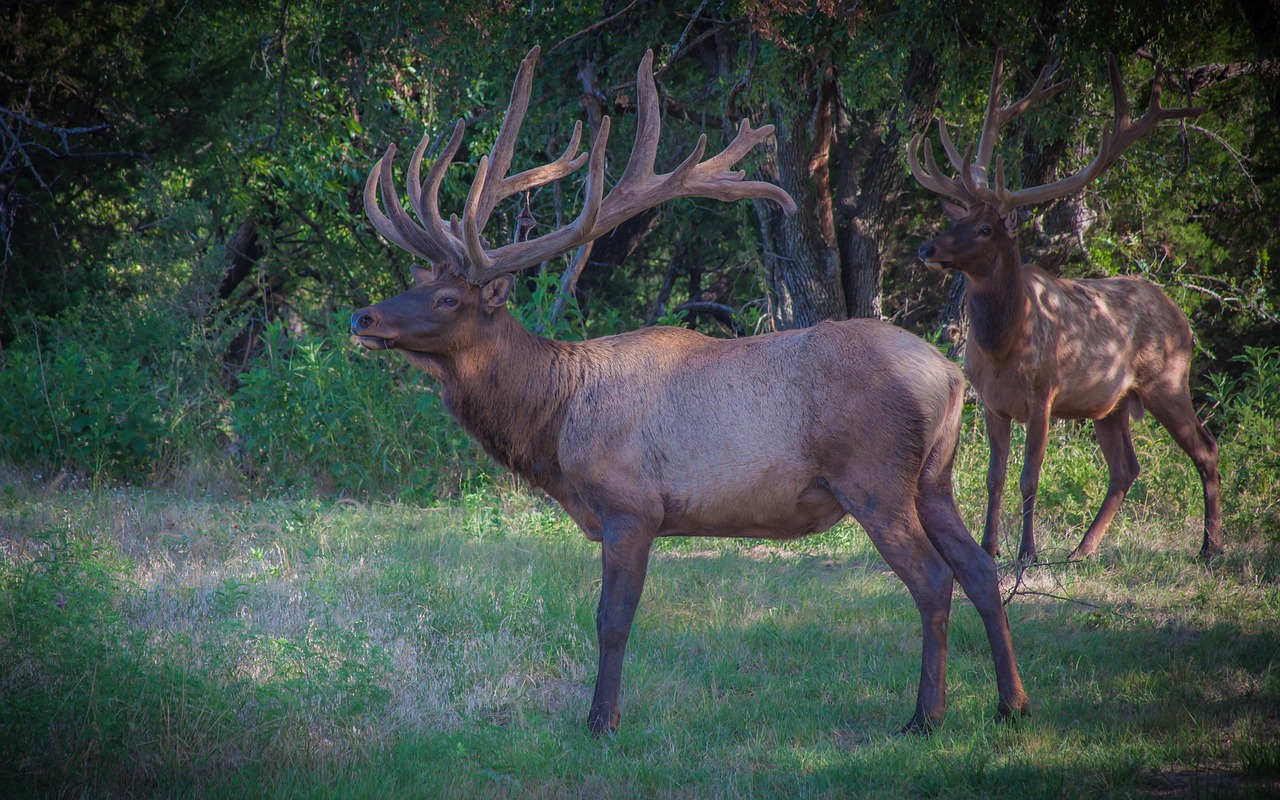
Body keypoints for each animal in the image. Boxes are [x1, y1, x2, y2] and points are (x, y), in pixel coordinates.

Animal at [350, 48, 1029, 737]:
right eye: (416, 280)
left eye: (446, 298)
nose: (363, 317)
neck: (555, 425)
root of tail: (950, 375)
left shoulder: (631, 506)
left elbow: (611, 621)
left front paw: (601, 721)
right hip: (932, 476)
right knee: (980, 568)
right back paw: (1011, 703)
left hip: (875, 476)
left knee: (933, 579)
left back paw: (926, 716)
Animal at [911, 51, 1218, 560]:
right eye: (959, 218)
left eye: (985, 229)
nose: (927, 249)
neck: (1002, 344)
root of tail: (1183, 318)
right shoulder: (992, 403)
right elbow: (994, 478)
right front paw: (989, 546)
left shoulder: (1044, 395)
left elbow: (1028, 477)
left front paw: (1026, 553)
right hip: (1113, 404)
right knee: (1126, 467)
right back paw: (1082, 551)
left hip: (1168, 381)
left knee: (1205, 448)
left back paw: (1211, 547)